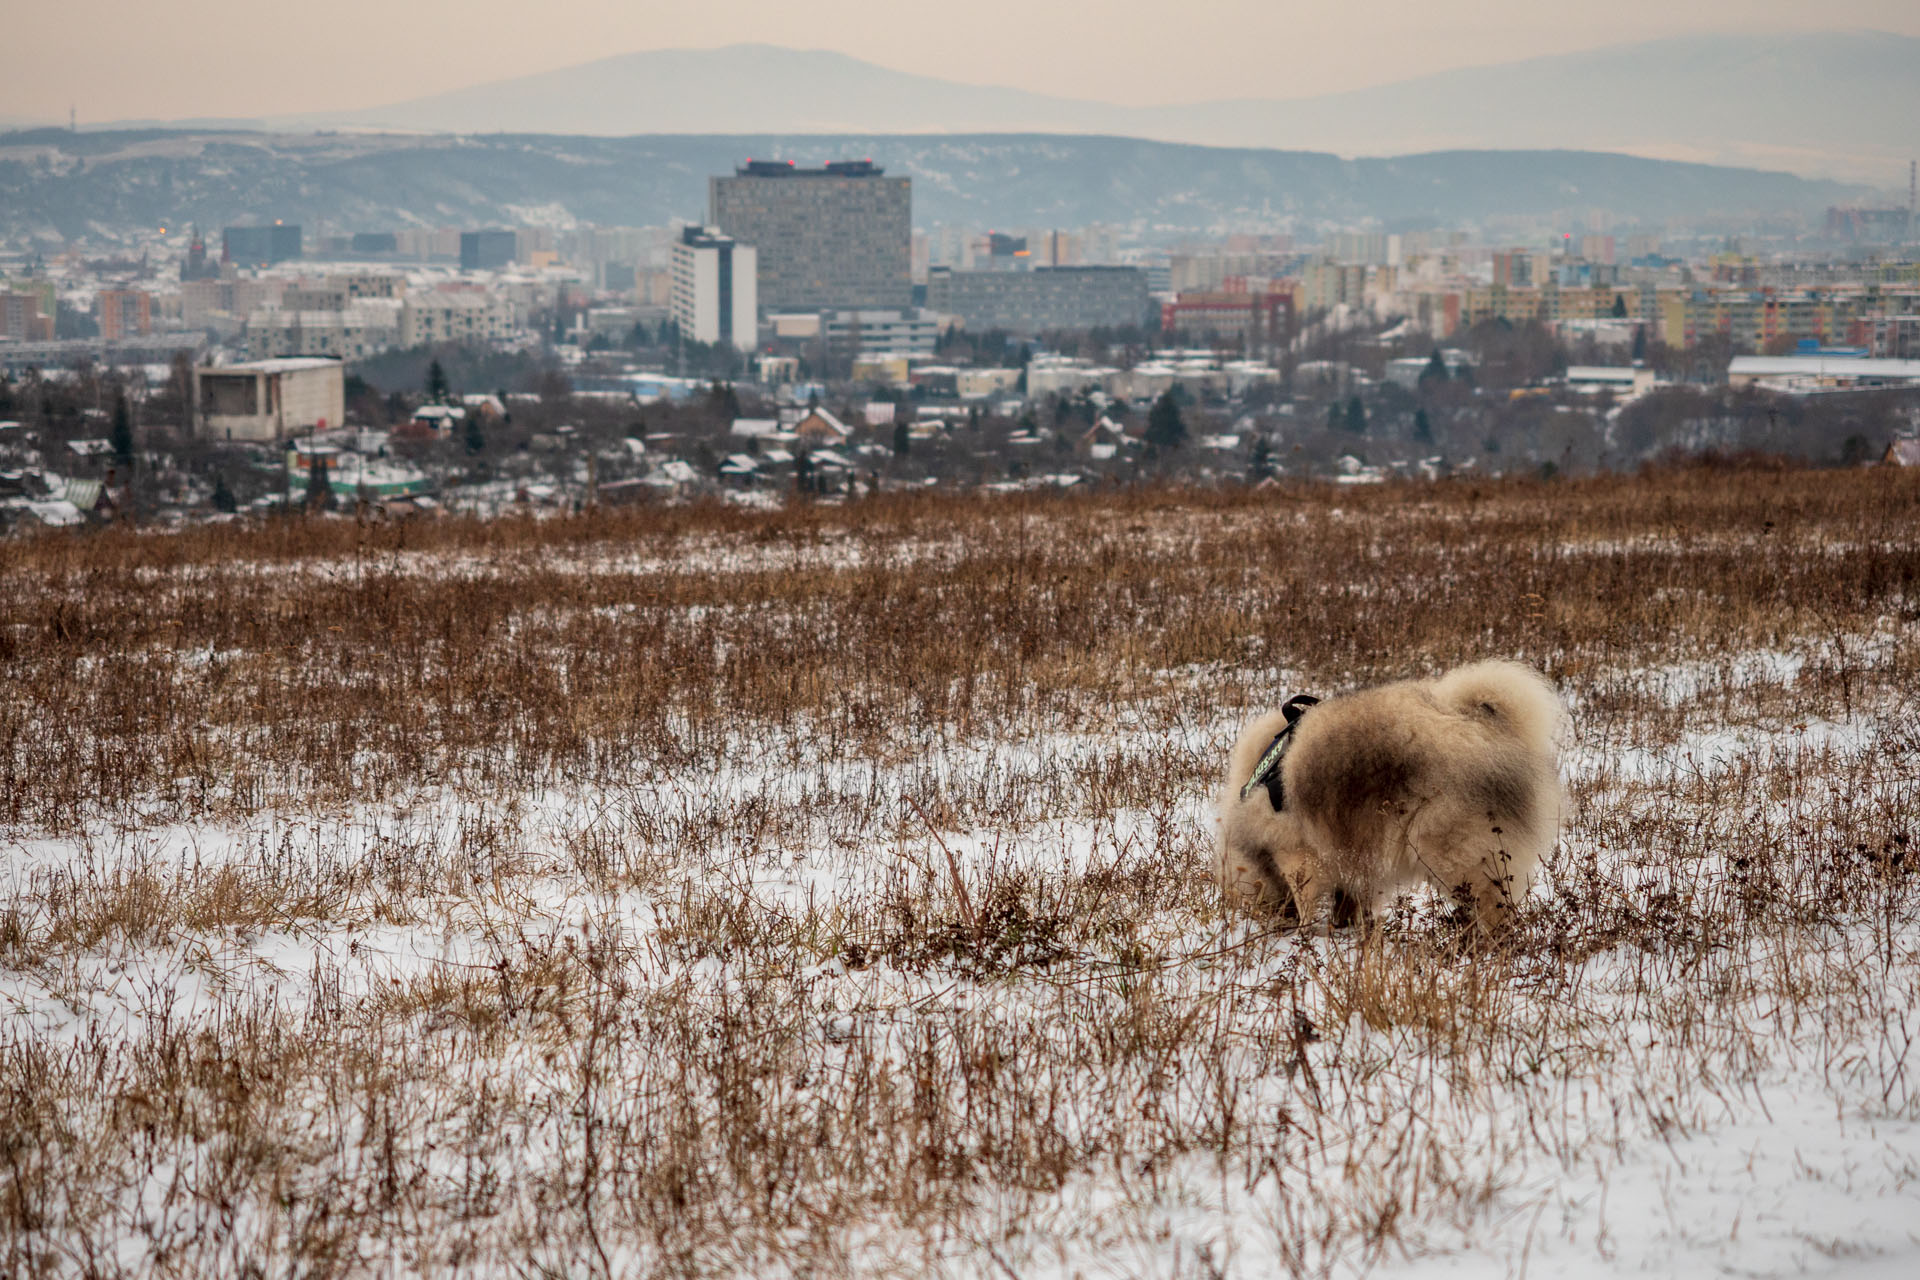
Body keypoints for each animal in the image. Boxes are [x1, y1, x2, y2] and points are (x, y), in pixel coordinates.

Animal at [1213, 660, 1559, 932]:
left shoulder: (1296, 851)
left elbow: (1305, 895)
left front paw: (1303, 932)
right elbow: (1349, 894)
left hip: (1452, 850)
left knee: (1490, 907)